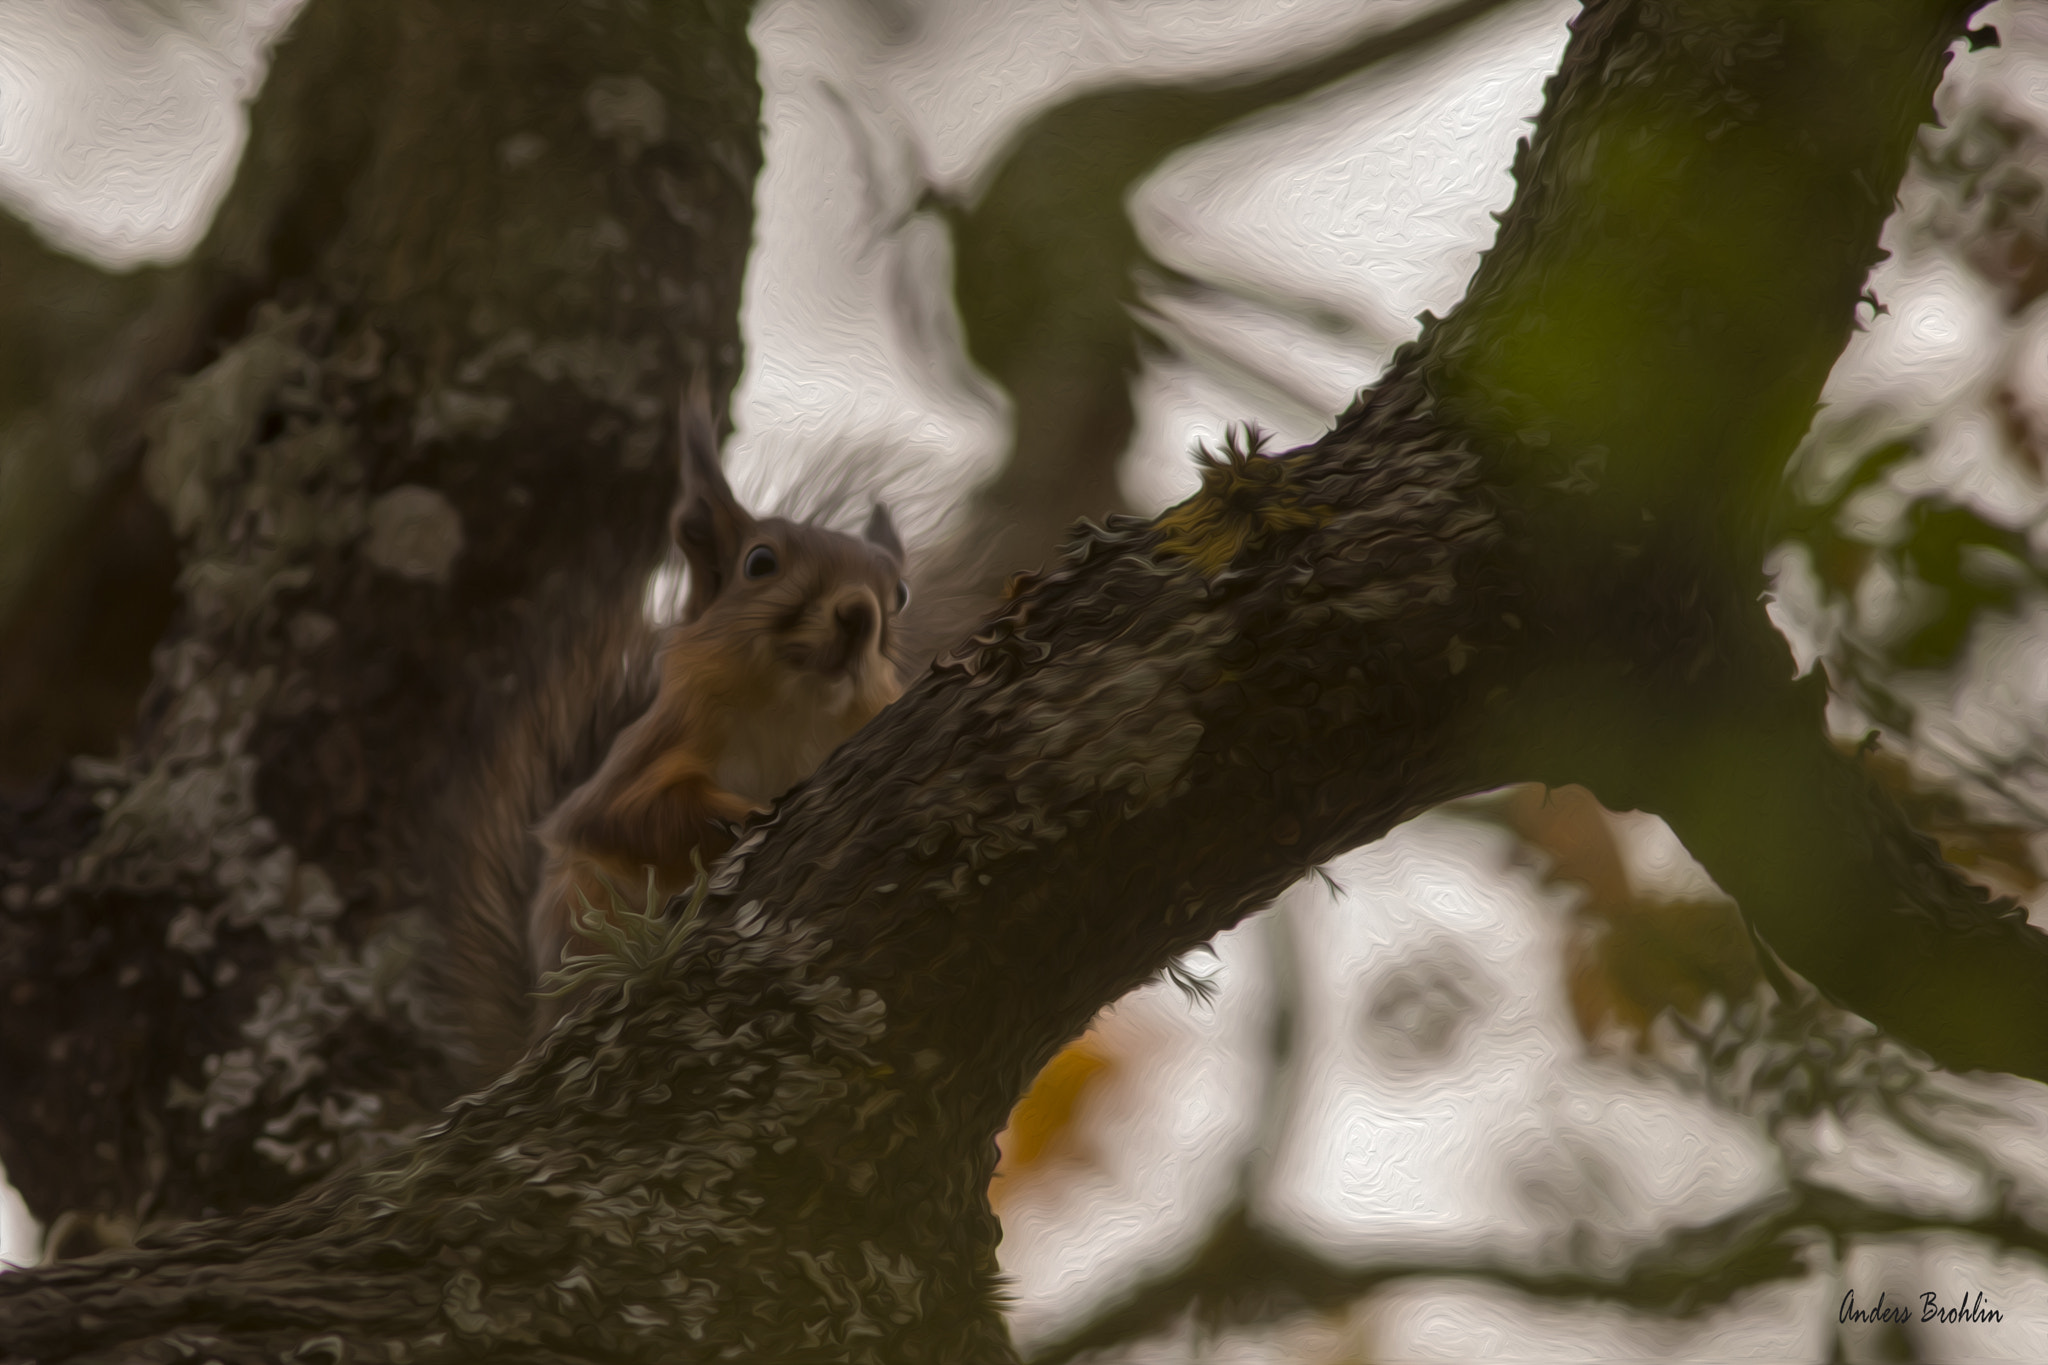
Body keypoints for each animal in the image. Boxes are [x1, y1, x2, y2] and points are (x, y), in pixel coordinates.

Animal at [436, 376, 909, 1080]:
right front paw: (736, 814)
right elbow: (615, 818)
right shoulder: (650, 751)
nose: (859, 614)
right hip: (579, 909)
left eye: (899, 594)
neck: (795, 709)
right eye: (759, 562)